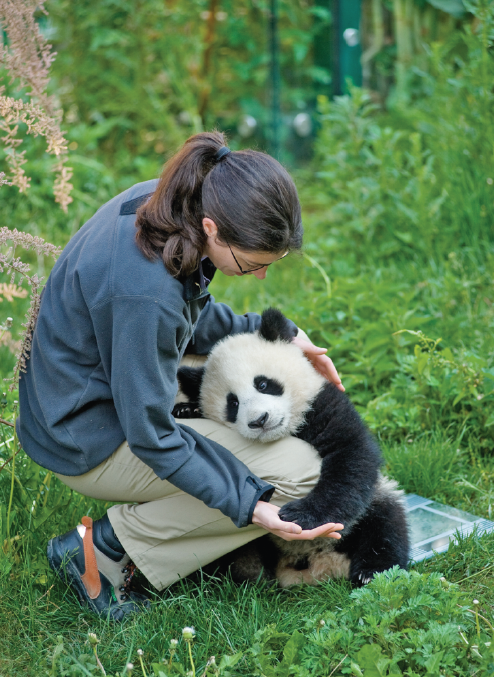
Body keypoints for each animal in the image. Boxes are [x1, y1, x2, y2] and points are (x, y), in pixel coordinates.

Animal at [173, 308, 410, 588]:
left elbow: (350, 458)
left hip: (375, 502)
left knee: (385, 523)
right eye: (233, 403)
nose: (259, 420)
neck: (287, 430)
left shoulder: (323, 404)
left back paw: (372, 572)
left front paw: (301, 516)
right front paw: (186, 410)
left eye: (263, 384)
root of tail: (320, 561)